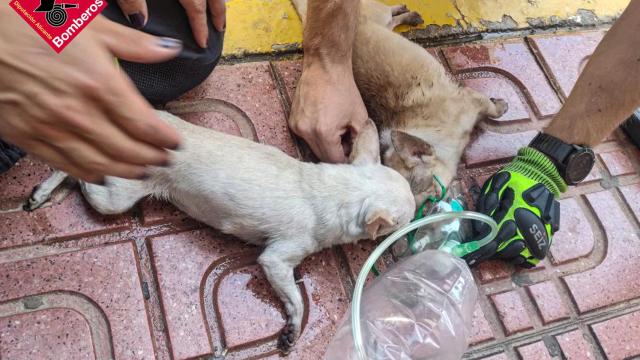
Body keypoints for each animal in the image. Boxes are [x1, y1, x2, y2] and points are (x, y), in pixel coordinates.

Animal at [26, 109, 416, 352]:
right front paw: (292, 328)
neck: (337, 190)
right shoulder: (276, 259)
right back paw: (43, 191)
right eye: (405, 220)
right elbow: (296, 298)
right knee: (76, 171)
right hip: (115, 198)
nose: (414, 223)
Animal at [292, 0, 508, 204]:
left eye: (432, 193)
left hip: (378, 13)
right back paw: (408, 15)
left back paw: (406, 13)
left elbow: (492, 109)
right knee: (392, 20)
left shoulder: (474, 100)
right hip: (380, 20)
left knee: (389, 14)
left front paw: (501, 106)